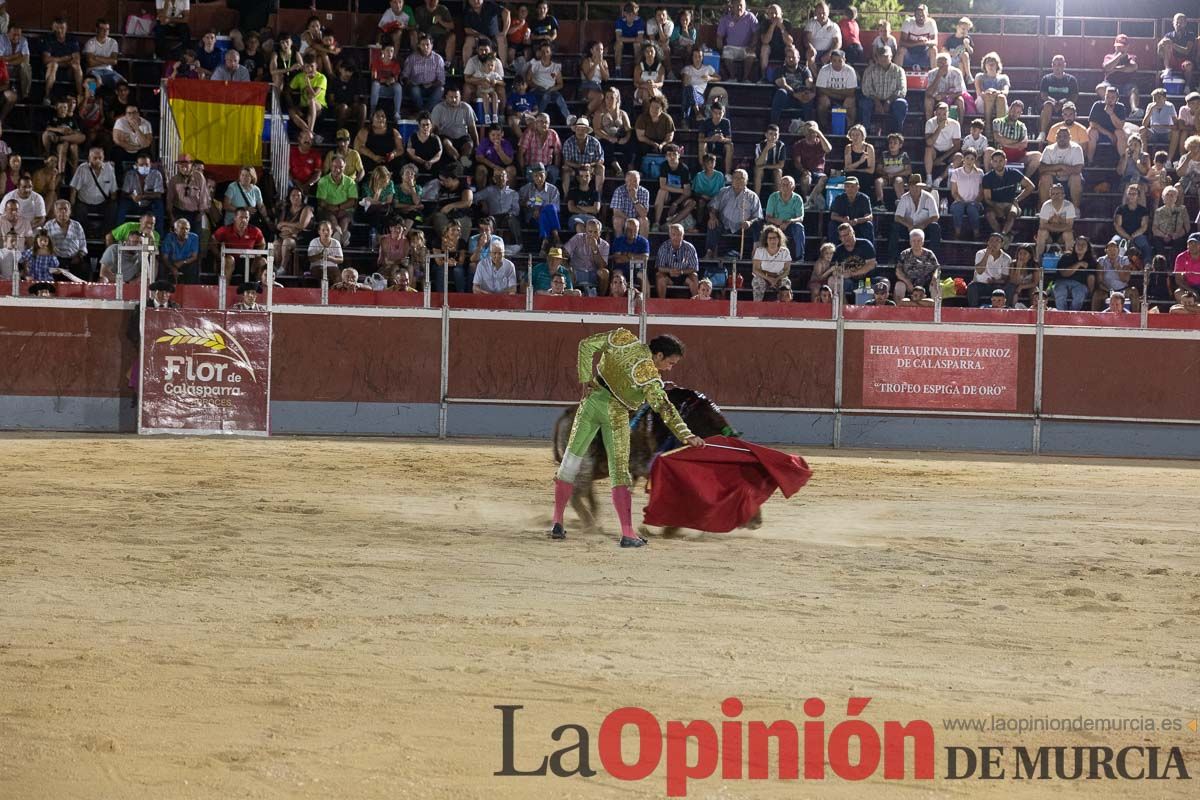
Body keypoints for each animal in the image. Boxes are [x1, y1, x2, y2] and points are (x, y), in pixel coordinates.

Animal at [549, 386, 763, 532]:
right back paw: (591, 525)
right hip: (584, 461)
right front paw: (666, 529)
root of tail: (568, 412)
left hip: (598, 467)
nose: (757, 522)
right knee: (575, 491)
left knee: (580, 488)